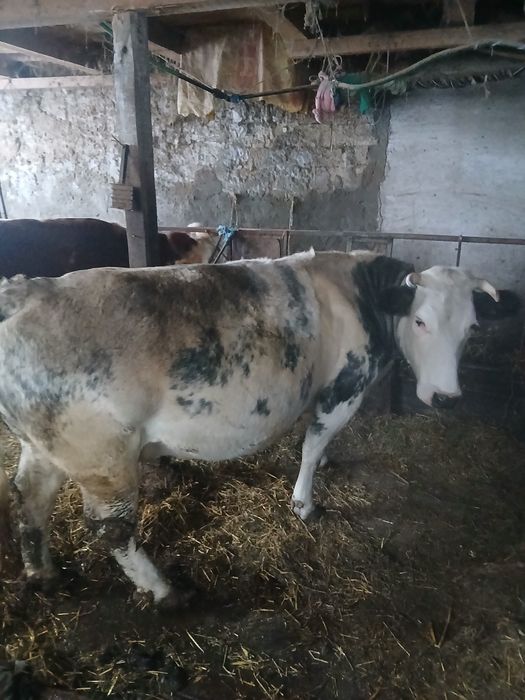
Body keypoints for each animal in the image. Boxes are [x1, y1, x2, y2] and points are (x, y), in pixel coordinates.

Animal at [0, 250, 518, 606]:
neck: (360, 294)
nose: (447, 397)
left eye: (472, 327)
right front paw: (305, 504)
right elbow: (311, 446)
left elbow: (318, 444)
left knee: (30, 496)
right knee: (111, 529)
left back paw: (42, 574)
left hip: (44, 446)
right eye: (420, 320)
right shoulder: (343, 390)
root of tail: (30, 291)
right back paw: (164, 590)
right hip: (103, 459)